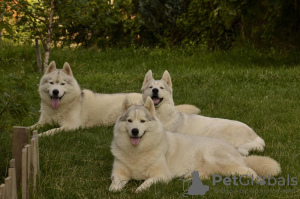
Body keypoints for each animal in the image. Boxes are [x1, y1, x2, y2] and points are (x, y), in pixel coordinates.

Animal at [31, 61, 199, 136]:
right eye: (51, 83)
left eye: (62, 84)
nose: (55, 92)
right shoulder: (43, 121)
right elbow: (32, 127)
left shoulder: (71, 126)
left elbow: (51, 130)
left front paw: (41, 136)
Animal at [109, 97, 282, 192]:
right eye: (129, 121)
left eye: (142, 121)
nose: (135, 131)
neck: (137, 152)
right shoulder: (119, 173)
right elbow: (114, 184)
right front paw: (114, 189)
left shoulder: (162, 175)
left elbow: (146, 183)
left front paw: (139, 189)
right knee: (209, 176)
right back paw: (188, 179)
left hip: (217, 158)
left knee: (250, 171)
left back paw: (259, 182)